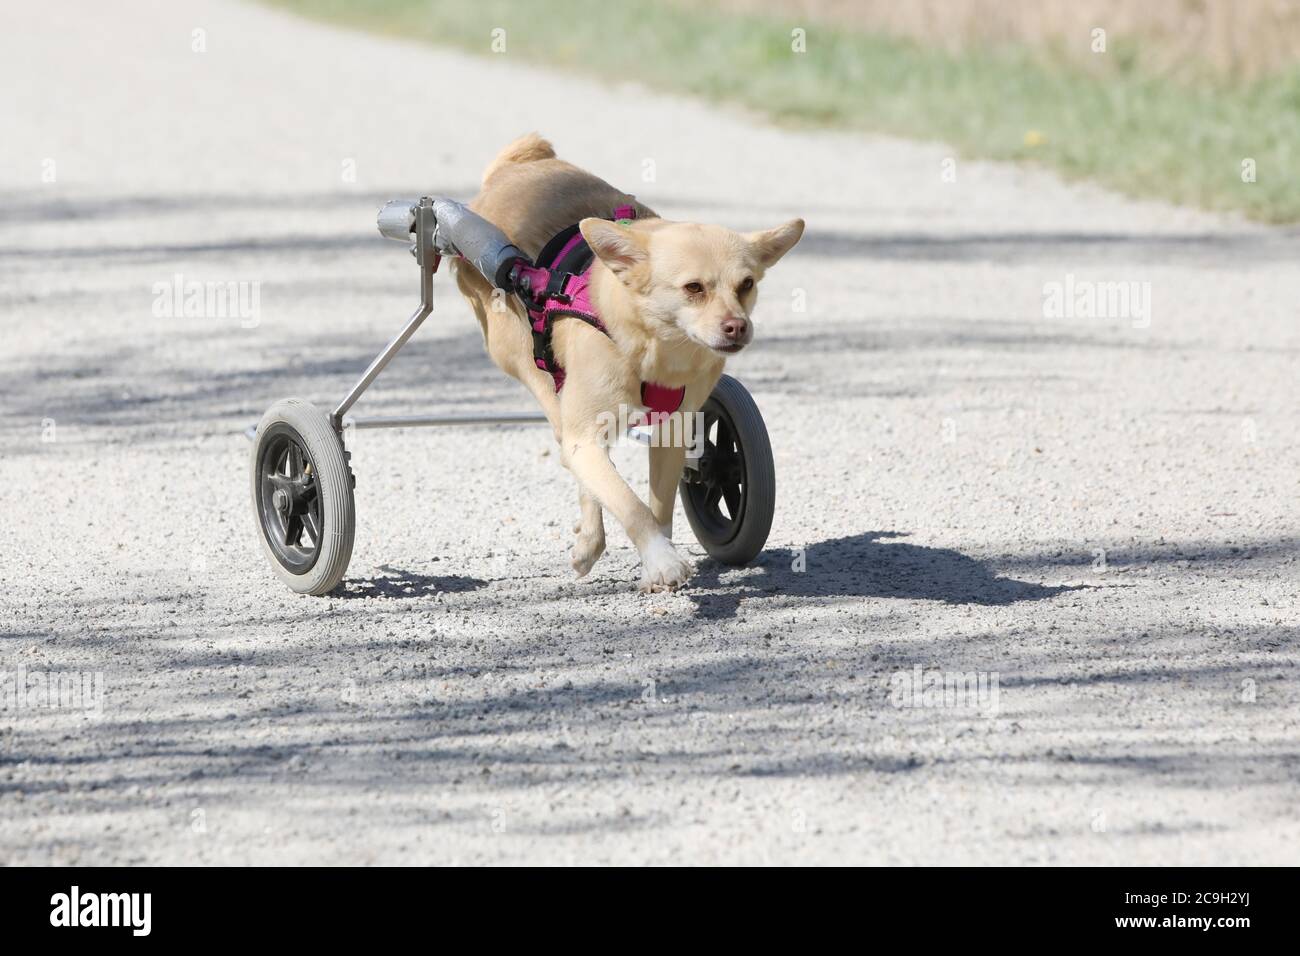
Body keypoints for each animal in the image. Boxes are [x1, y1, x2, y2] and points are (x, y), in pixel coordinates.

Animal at [457, 134, 800, 590]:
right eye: (693, 288)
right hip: (525, 363)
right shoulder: (585, 434)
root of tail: (515, 167)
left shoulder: (673, 432)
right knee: (567, 441)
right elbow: (629, 502)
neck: (656, 349)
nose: (737, 327)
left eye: (746, 284)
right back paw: (589, 541)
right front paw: (662, 560)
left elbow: (658, 506)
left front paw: (656, 558)